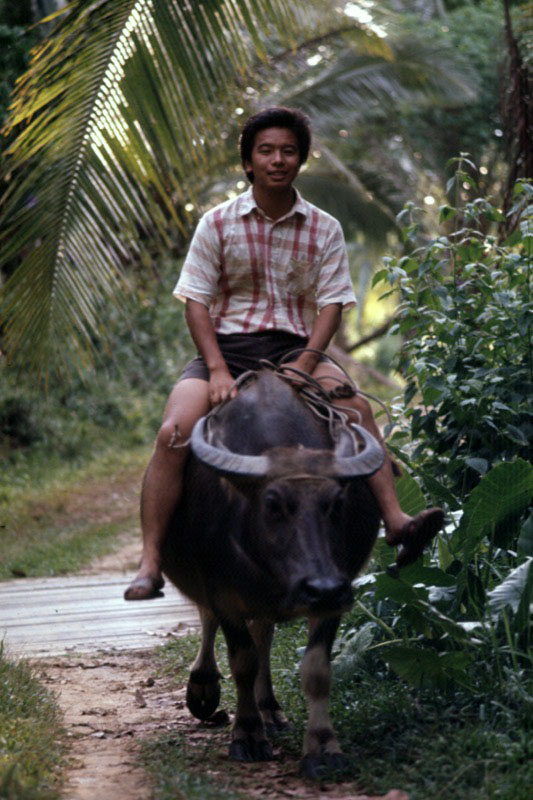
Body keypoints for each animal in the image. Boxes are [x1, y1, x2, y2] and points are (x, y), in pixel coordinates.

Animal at [161, 372, 382, 780]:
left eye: (336, 504)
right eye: (273, 504)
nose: (323, 589)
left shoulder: (336, 591)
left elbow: (316, 670)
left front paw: (323, 747)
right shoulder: (223, 591)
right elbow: (242, 661)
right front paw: (247, 734)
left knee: (263, 633)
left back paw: (269, 709)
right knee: (209, 619)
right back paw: (204, 687)